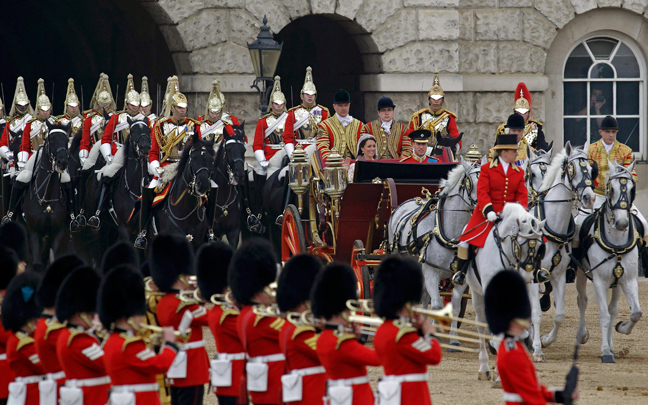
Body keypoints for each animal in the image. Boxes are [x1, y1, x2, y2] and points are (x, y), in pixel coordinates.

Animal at [20, 121, 72, 270]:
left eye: (66, 140)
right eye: (52, 140)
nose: (62, 162)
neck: (47, 199)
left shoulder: (57, 234)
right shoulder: (33, 233)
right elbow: (36, 264)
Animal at [384, 158, 480, 344]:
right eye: (472, 183)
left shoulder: (460, 277)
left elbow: (454, 307)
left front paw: (453, 339)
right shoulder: (431, 271)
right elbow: (436, 306)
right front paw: (433, 332)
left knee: (423, 297)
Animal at [468, 202, 544, 378]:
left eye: (539, 248)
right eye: (522, 245)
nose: (528, 275)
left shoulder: (529, 288)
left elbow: (535, 315)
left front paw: (536, 350)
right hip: (476, 293)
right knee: (481, 323)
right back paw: (484, 367)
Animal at [528, 142, 596, 356]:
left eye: (591, 169)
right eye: (572, 168)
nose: (590, 198)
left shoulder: (558, 275)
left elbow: (559, 314)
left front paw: (545, 340)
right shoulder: (533, 275)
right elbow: (536, 314)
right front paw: (537, 349)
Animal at [576, 159, 644, 362]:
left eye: (631, 189)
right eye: (611, 189)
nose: (621, 223)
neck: (616, 244)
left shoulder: (628, 279)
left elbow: (636, 312)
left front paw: (621, 327)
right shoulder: (599, 280)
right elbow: (604, 316)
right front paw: (605, 351)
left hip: (617, 284)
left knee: (613, 309)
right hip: (581, 274)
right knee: (582, 301)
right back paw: (582, 335)